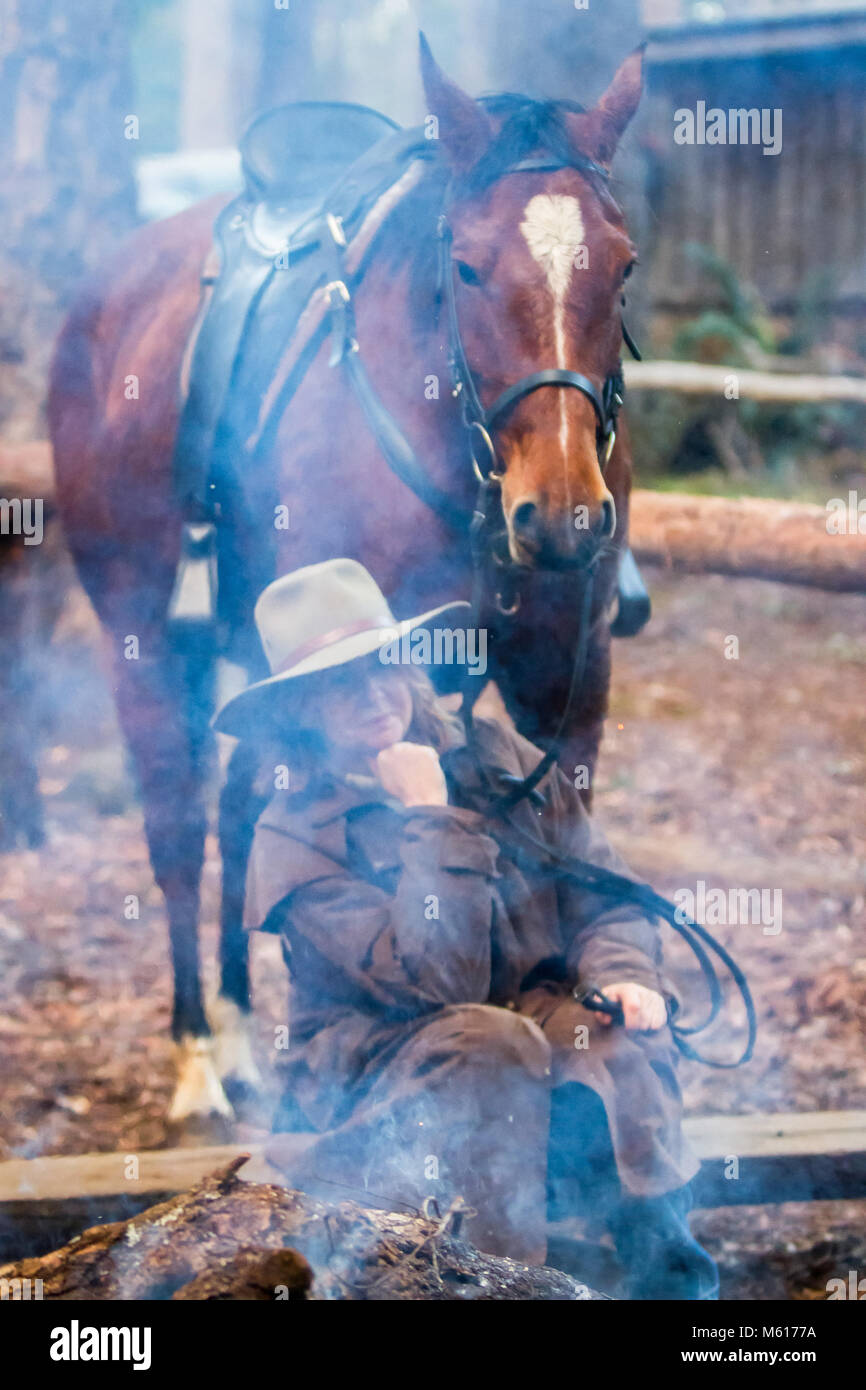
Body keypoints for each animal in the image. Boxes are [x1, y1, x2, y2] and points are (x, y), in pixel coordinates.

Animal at [47, 38, 644, 1123]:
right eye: (465, 264)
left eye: (622, 265)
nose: (564, 516)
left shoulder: (564, 689)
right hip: (142, 642)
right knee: (178, 824)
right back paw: (198, 1053)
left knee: (238, 806)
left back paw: (243, 1037)